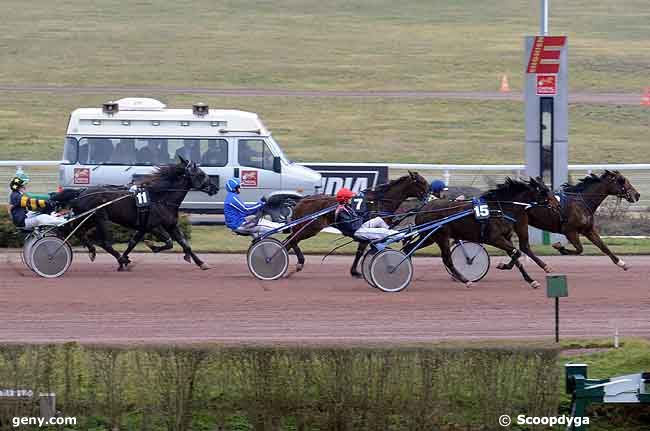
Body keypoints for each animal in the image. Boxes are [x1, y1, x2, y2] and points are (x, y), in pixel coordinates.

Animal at [284, 172, 428, 276]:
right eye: (422, 182)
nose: (428, 196)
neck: (380, 201)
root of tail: (302, 200)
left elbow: (366, 250)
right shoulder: (366, 231)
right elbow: (361, 251)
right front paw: (355, 271)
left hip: (303, 228)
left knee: (289, 241)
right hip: (310, 228)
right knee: (292, 240)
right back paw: (298, 263)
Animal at [400, 177, 556, 288]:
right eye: (544, 191)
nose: (556, 204)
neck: (499, 208)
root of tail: (423, 208)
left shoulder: (505, 238)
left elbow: (515, 255)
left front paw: (531, 280)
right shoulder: (494, 238)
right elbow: (516, 252)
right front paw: (503, 266)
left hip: (429, 237)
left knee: (409, 248)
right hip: (441, 236)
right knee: (447, 259)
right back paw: (465, 280)